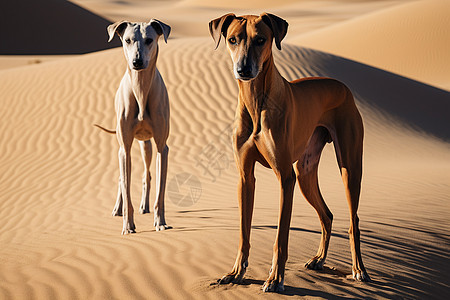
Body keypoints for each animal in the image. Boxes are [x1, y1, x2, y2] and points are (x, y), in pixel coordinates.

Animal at [208, 12, 370, 292]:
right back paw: (319, 259)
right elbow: (243, 233)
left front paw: (275, 278)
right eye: (232, 39)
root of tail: (343, 86)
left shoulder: (285, 178)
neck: (256, 101)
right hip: (305, 173)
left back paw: (359, 269)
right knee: (327, 215)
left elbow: (281, 238)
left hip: (349, 168)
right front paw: (236, 272)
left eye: (261, 39)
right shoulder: (245, 178)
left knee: (354, 222)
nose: (243, 70)